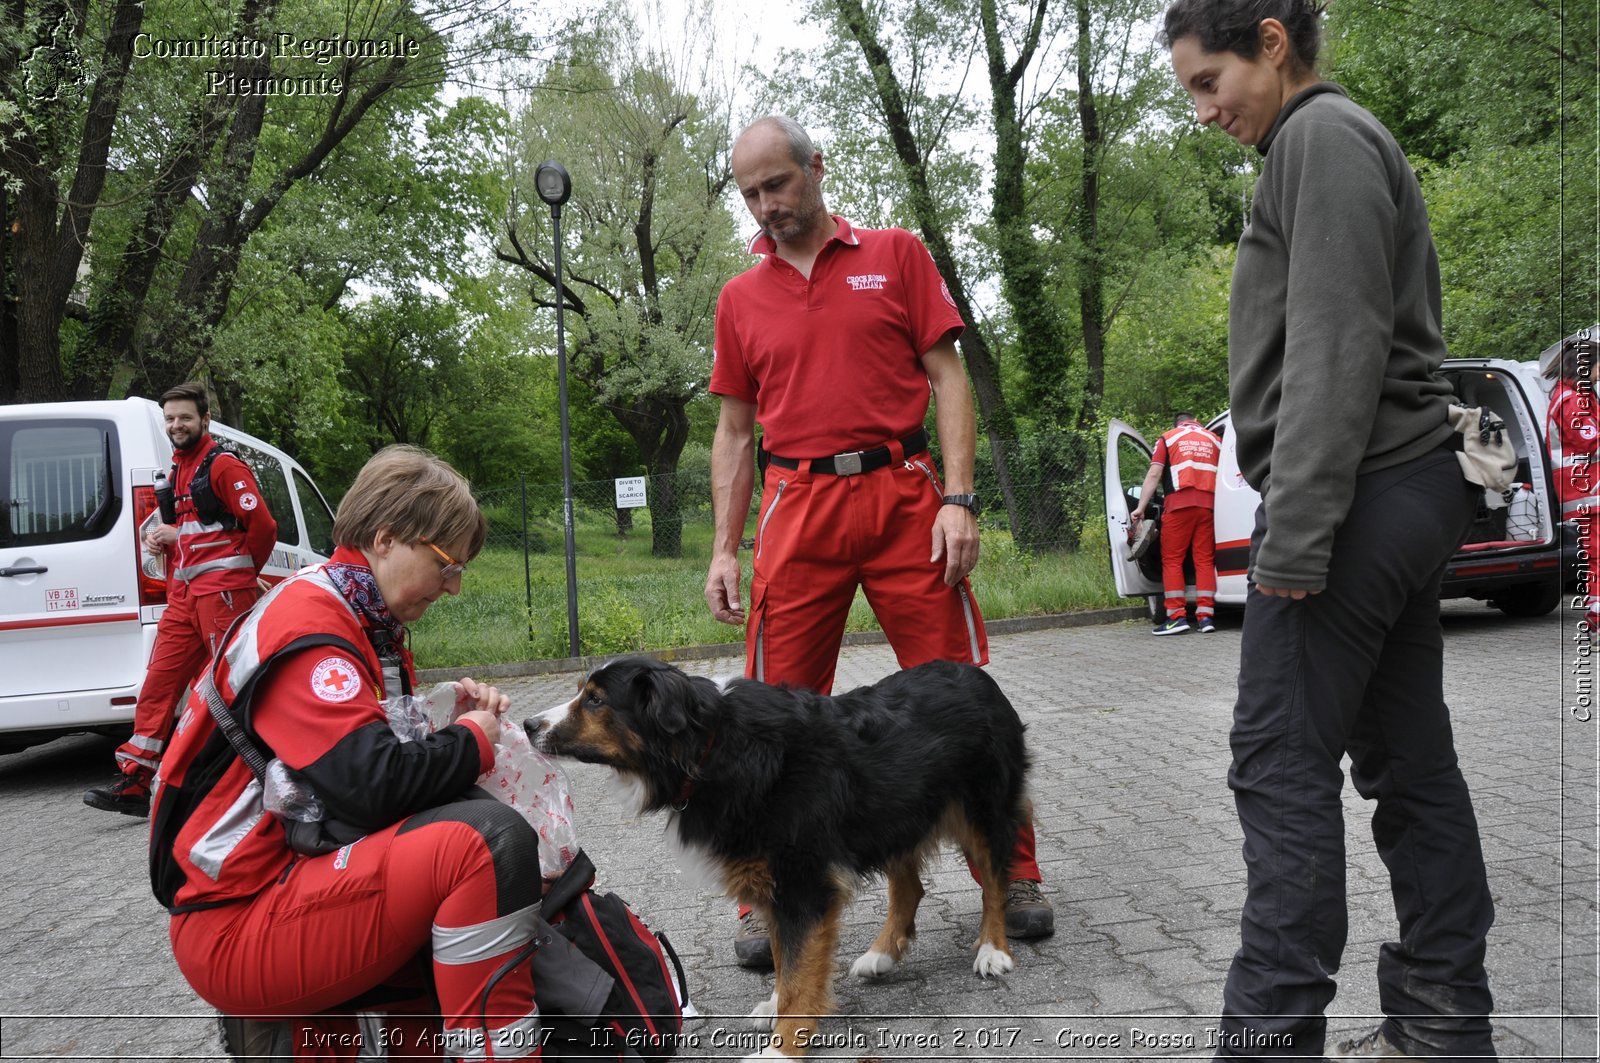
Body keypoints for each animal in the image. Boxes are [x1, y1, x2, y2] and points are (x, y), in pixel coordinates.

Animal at [521, 656, 1024, 1056]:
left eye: (595, 701)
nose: (528, 725)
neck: (710, 748)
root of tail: (976, 674)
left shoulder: (804, 884)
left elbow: (800, 969)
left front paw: (782, 1049)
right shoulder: (776, 886)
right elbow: (785, 957)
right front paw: (776, 1004)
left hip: (982, 810)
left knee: (995, 878)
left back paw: (993, 949)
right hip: (897, 813)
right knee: (911, 886)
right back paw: (880, 956)